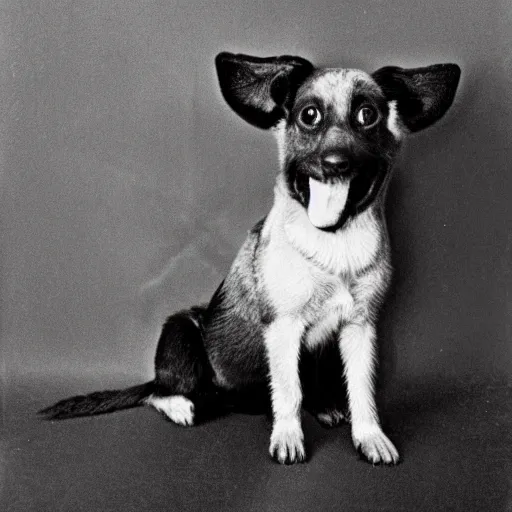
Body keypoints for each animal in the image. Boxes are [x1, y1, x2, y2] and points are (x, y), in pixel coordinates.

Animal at [41, 51, 460, 464]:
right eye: (309, 115)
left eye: (367, 115)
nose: (335, 162)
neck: (332, 248)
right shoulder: (283, 328)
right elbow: (289, 391)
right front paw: (288, 436)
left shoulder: (360, 328)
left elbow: (362, 391)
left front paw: (369, 436)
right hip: (182, 332)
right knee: (158, 392)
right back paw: (180, 406)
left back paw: (322, 406)